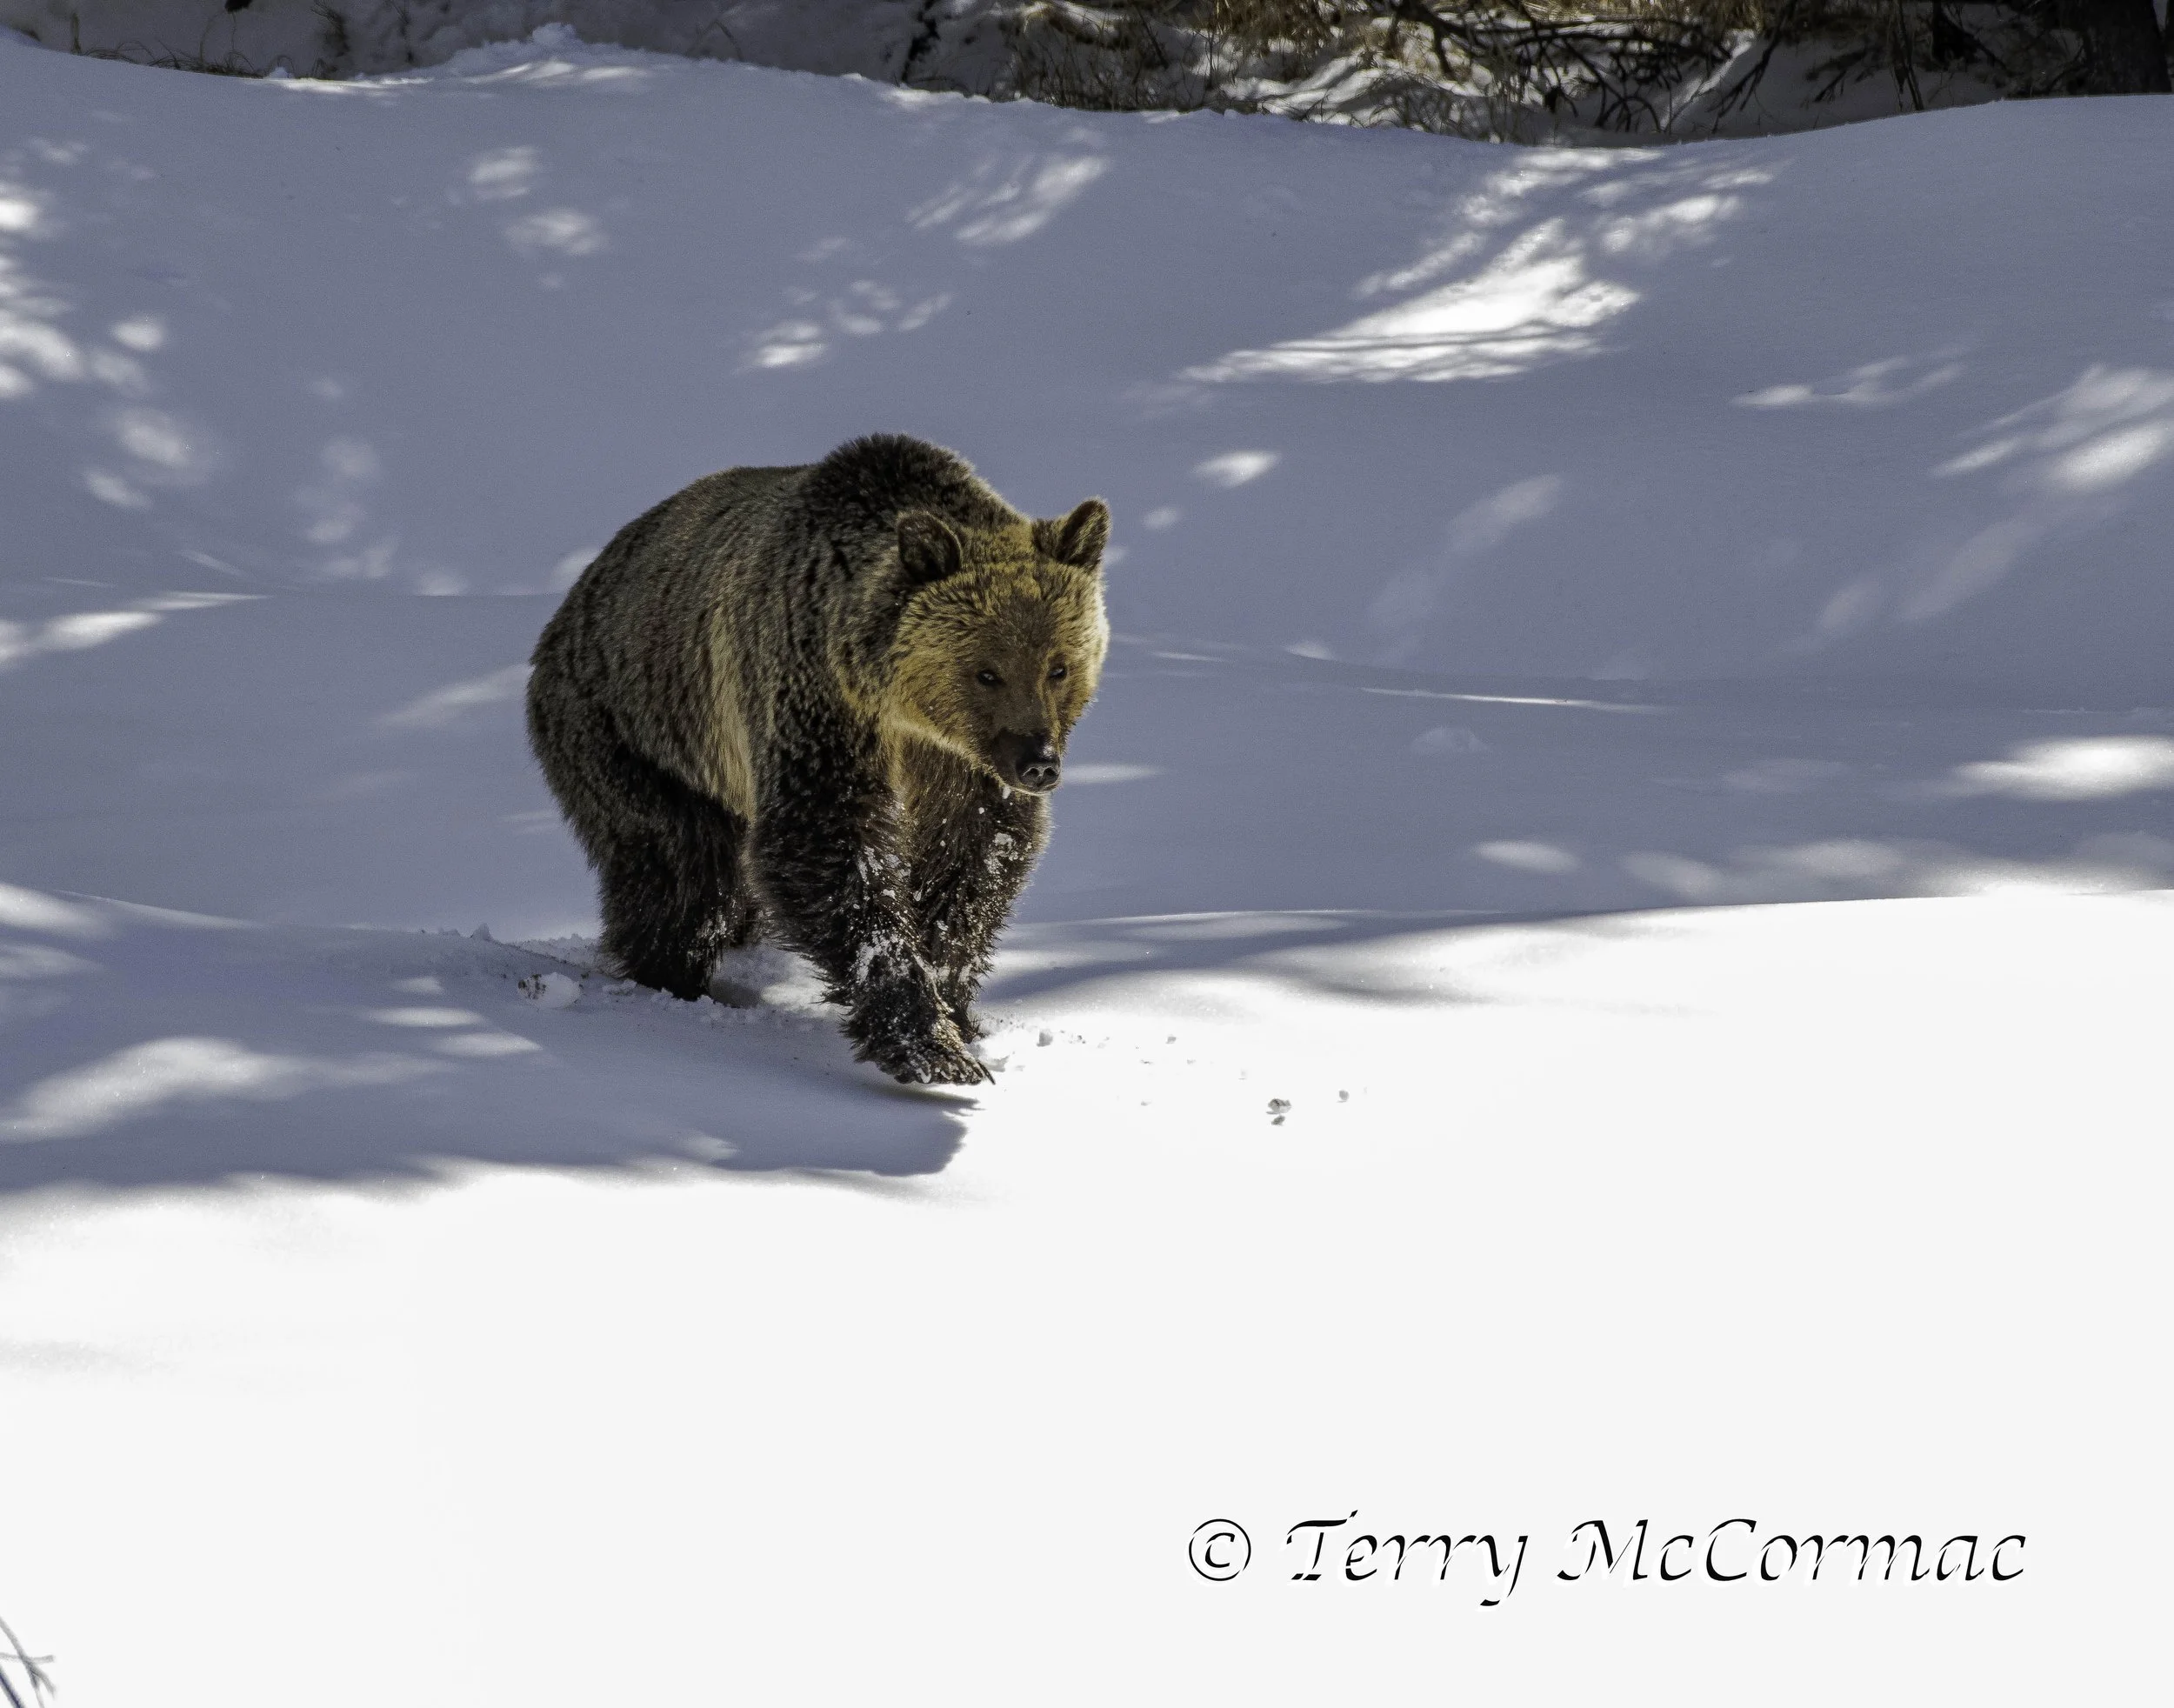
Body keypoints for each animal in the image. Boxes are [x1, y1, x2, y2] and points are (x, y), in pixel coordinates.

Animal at [525, 434, 1111, 1086]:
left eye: (1059, 666)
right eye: (987, 671)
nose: (1039, 764)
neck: (901, 708)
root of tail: (579, 595)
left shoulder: (955, 765)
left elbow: (974, 857)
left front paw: (954, 1007)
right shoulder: (813, 694)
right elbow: (828, 845)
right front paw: (927, 1044)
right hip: (636, 731)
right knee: (682, 872)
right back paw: (671, 977)